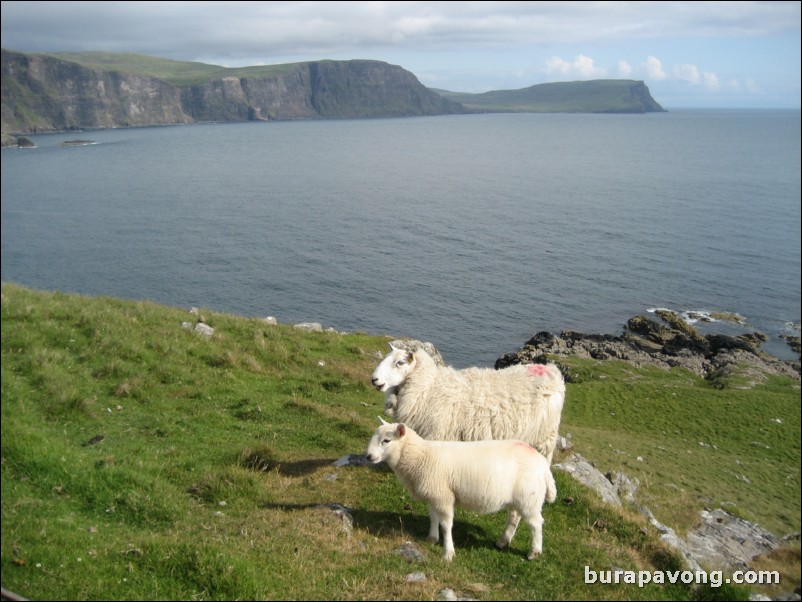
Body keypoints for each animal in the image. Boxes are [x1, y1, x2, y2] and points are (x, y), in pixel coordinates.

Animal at [364, 418, 556, 556]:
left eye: (386, 440)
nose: (368, 456)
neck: (421, 456)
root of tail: (542, 464)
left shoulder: (444, 497)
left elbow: (446, 525)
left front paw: (448, 552)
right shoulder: (434, 495)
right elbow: (433, 518)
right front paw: (432, 538)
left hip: (529, 498)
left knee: (536, 524)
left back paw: (534, 552)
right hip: (518, 498)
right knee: (514, 518)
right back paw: (502, 542)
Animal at [368, 340, 564, 462]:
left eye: (400, 363)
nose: (374, 380)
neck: (428, 387)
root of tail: (552, 371)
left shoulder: (440, 433)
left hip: (546, 434)